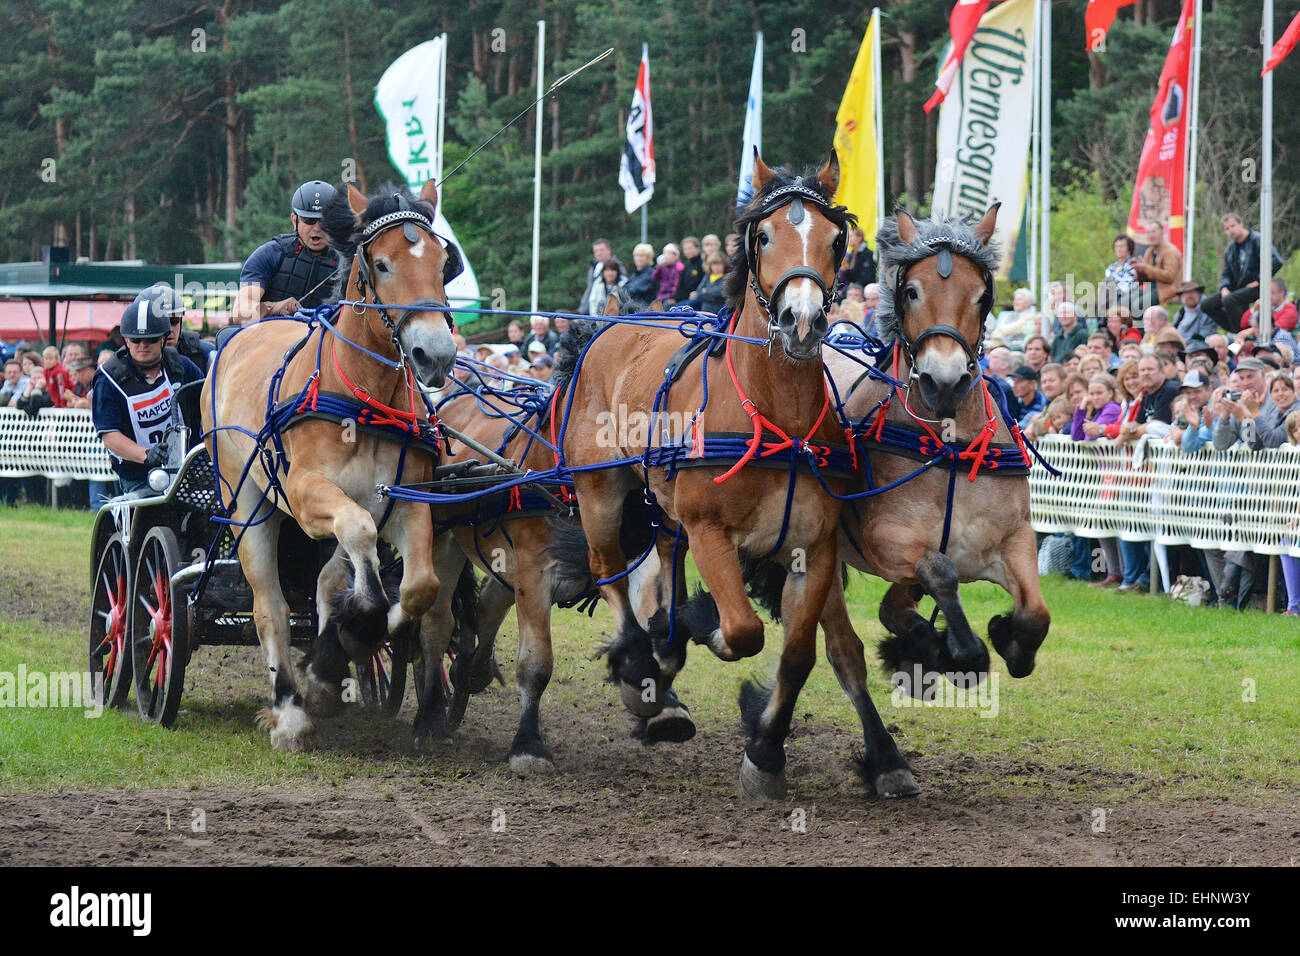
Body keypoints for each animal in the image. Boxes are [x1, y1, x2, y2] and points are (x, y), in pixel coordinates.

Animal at [202, 178, 462, 749]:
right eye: (382, 264)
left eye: (443, 262)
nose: (436, 355)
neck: (364, 396)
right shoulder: (306, 495)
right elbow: (360, 543)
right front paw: (338, 651)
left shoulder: (405, 504)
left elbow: (417, 587)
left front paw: (337, 655)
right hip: (248, 502)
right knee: (271, 607)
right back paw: (288, 710)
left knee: (328, 577)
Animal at [561, 155, 852, 801]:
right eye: (764, 236)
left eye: (835, 238)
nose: (802, 321)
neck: (777, 418)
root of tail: (610, 326)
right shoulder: (711, 530)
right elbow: (742, 630)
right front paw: (703, 625)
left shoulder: (816, 545)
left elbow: (798, 654)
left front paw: (766, 755)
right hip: (601, 490)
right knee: (608, 570)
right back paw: (643, 672)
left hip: (664, 507)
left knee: (659, 568)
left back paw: (663, 658)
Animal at [748, 209, 1050, 801]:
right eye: (911, 291)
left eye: (983, 296)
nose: (944, 381)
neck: (949, 443)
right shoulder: (885, 541)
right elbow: (939, 570)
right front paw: (962, 654)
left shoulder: (1012, 540)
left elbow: (1036, 614)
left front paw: (1005, 639)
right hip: (822, 557)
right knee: (845, 655)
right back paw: (886, 758)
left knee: (892, 608)